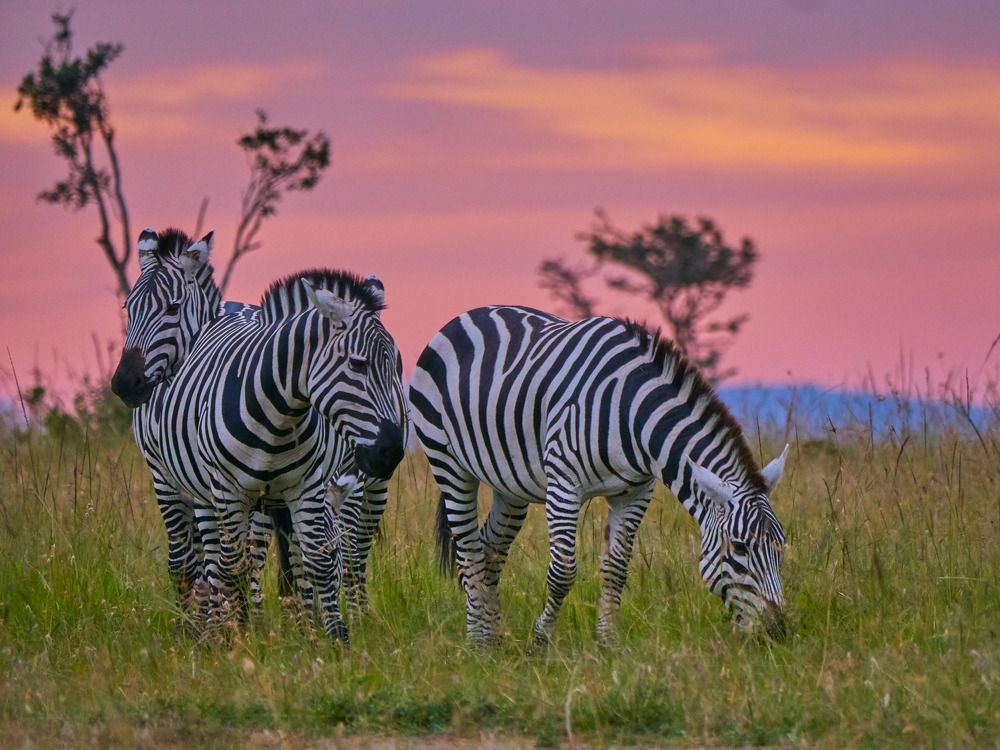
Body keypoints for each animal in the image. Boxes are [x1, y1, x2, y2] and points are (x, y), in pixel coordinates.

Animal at [156, 269, 405, 642]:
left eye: (396, 365)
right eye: (357, 364)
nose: (391, 452)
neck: (279, 410)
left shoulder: (307, 486)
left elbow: (318, 559)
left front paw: (335, 638)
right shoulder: (229, 491)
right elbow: (235, 566)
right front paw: (238, 637)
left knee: (351, 551)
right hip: (185, 486)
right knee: (211, 560)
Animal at [409, 305, 789, 646]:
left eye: (780, 545)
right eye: (738, 547)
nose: (776, 631)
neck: (633, 412)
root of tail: (466, 315)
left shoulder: (635, 491)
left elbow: (616, 569)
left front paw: (608, 642)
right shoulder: (564, 483)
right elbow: (563, 571)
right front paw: (540, 640)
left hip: (510, 486)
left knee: (488, 548)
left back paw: (491, 632)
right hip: (449, 465)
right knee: (469, 551)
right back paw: (477, 641)